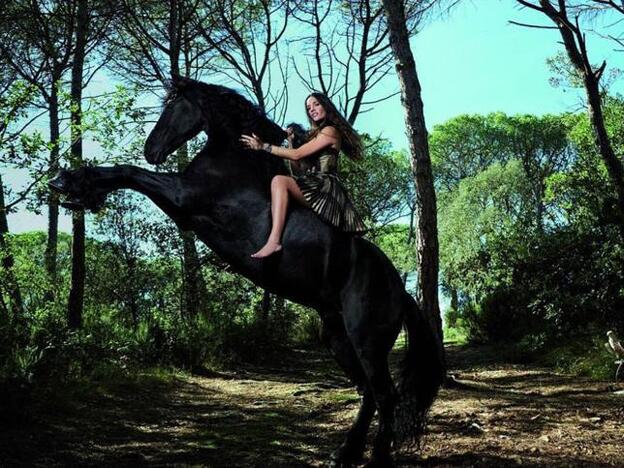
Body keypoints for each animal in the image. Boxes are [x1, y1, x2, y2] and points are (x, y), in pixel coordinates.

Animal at [51, 75, 446, 466]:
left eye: (174, 105)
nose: (152, 149)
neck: (232, 160)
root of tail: (400, 289)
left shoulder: (182, 199)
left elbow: (129, 172)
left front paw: (72, 183)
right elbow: (127, 174)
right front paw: (74, 188)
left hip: (367, 342)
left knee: (385, 395)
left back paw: (374, 458)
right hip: (337, 336)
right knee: (367, 393)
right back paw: (343, 454)